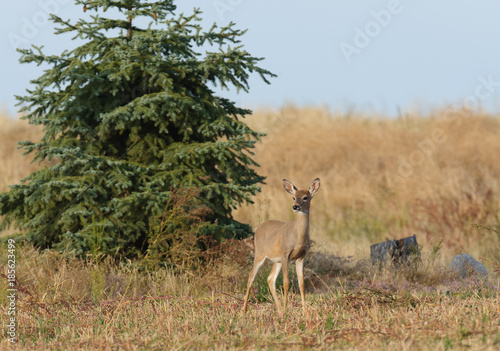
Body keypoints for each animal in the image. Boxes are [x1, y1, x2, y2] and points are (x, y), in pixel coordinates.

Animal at [242, 177, 320, 318]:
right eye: (293, 197)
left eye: (305, 197)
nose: (295, 206)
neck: (297, 237)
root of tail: (259, 227)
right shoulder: (285, 253)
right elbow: (286, 282)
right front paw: (287, 309)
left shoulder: (301, 257)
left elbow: (301, 283)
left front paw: (305, 312)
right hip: (260, 253)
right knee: (251, 277)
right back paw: (244, 310)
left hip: (276, 260)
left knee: (270, 279)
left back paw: (279, 310)